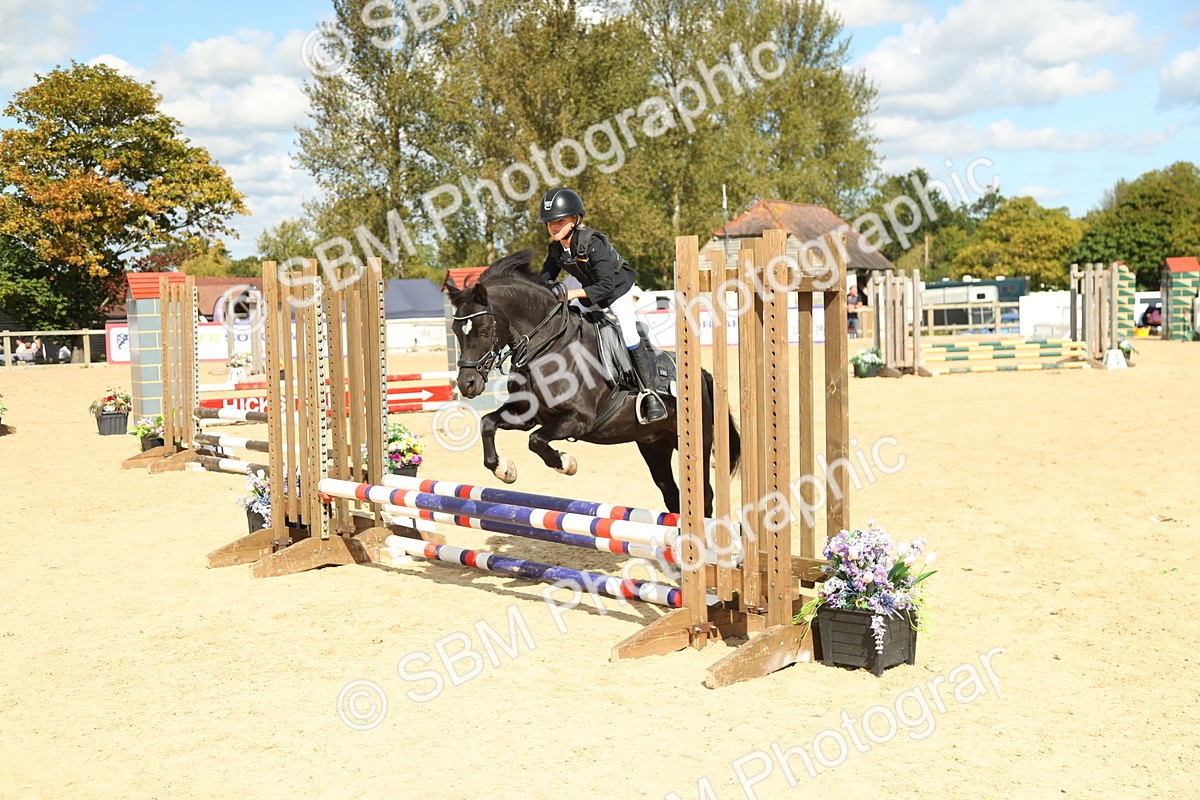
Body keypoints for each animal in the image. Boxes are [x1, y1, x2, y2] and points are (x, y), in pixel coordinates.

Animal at [445, 249, 740, 516]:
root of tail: (702, 374)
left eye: (485, 330)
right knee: (671, 494)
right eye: (456, 330)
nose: (467, 384)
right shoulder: (527, 415)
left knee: (704, 496)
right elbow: (488, 423)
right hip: (654, 443)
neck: (546, 347)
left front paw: (566, 462)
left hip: (696, 442)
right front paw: (503, 469)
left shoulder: (578, 419)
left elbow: (536, 441)